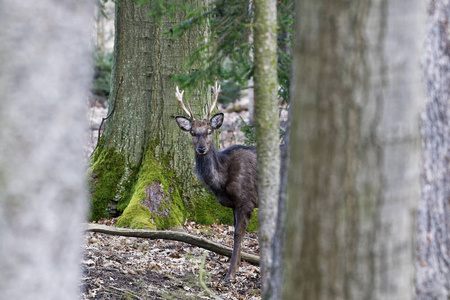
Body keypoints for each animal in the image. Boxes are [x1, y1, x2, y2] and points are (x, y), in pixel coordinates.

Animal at [173, 81, 258, 280]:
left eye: (209, 131)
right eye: (192, 132)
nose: (201, 148)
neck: (221, 181)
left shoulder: (246, 201)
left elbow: (238, 234)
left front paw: (231, 273)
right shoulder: (235, 205)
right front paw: (237, 267)